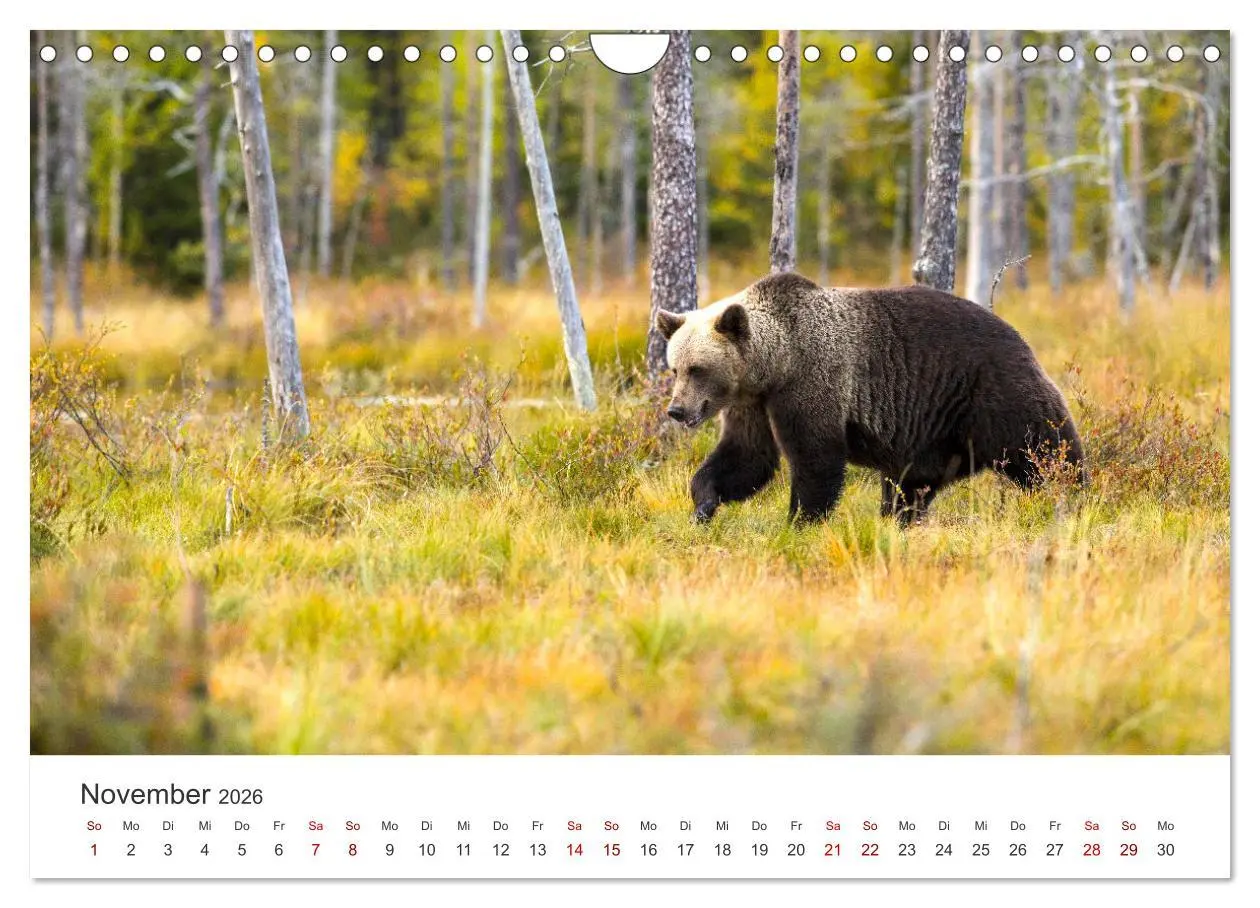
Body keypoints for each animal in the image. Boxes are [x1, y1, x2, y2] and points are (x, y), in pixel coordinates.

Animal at [656, 271, 1086, 526]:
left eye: (698, 369)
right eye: (675, 368)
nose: (677, 410)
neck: (775, 363)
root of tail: (1020, 336)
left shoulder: (812, 381)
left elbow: (816, 459)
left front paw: (799, 521)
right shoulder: (753, 403)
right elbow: (747, 457)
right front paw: (703, 504)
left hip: (993, 392)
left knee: (1046, 448)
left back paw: (1073, 496)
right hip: (933, 434)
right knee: (910, 486)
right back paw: (899, 520)